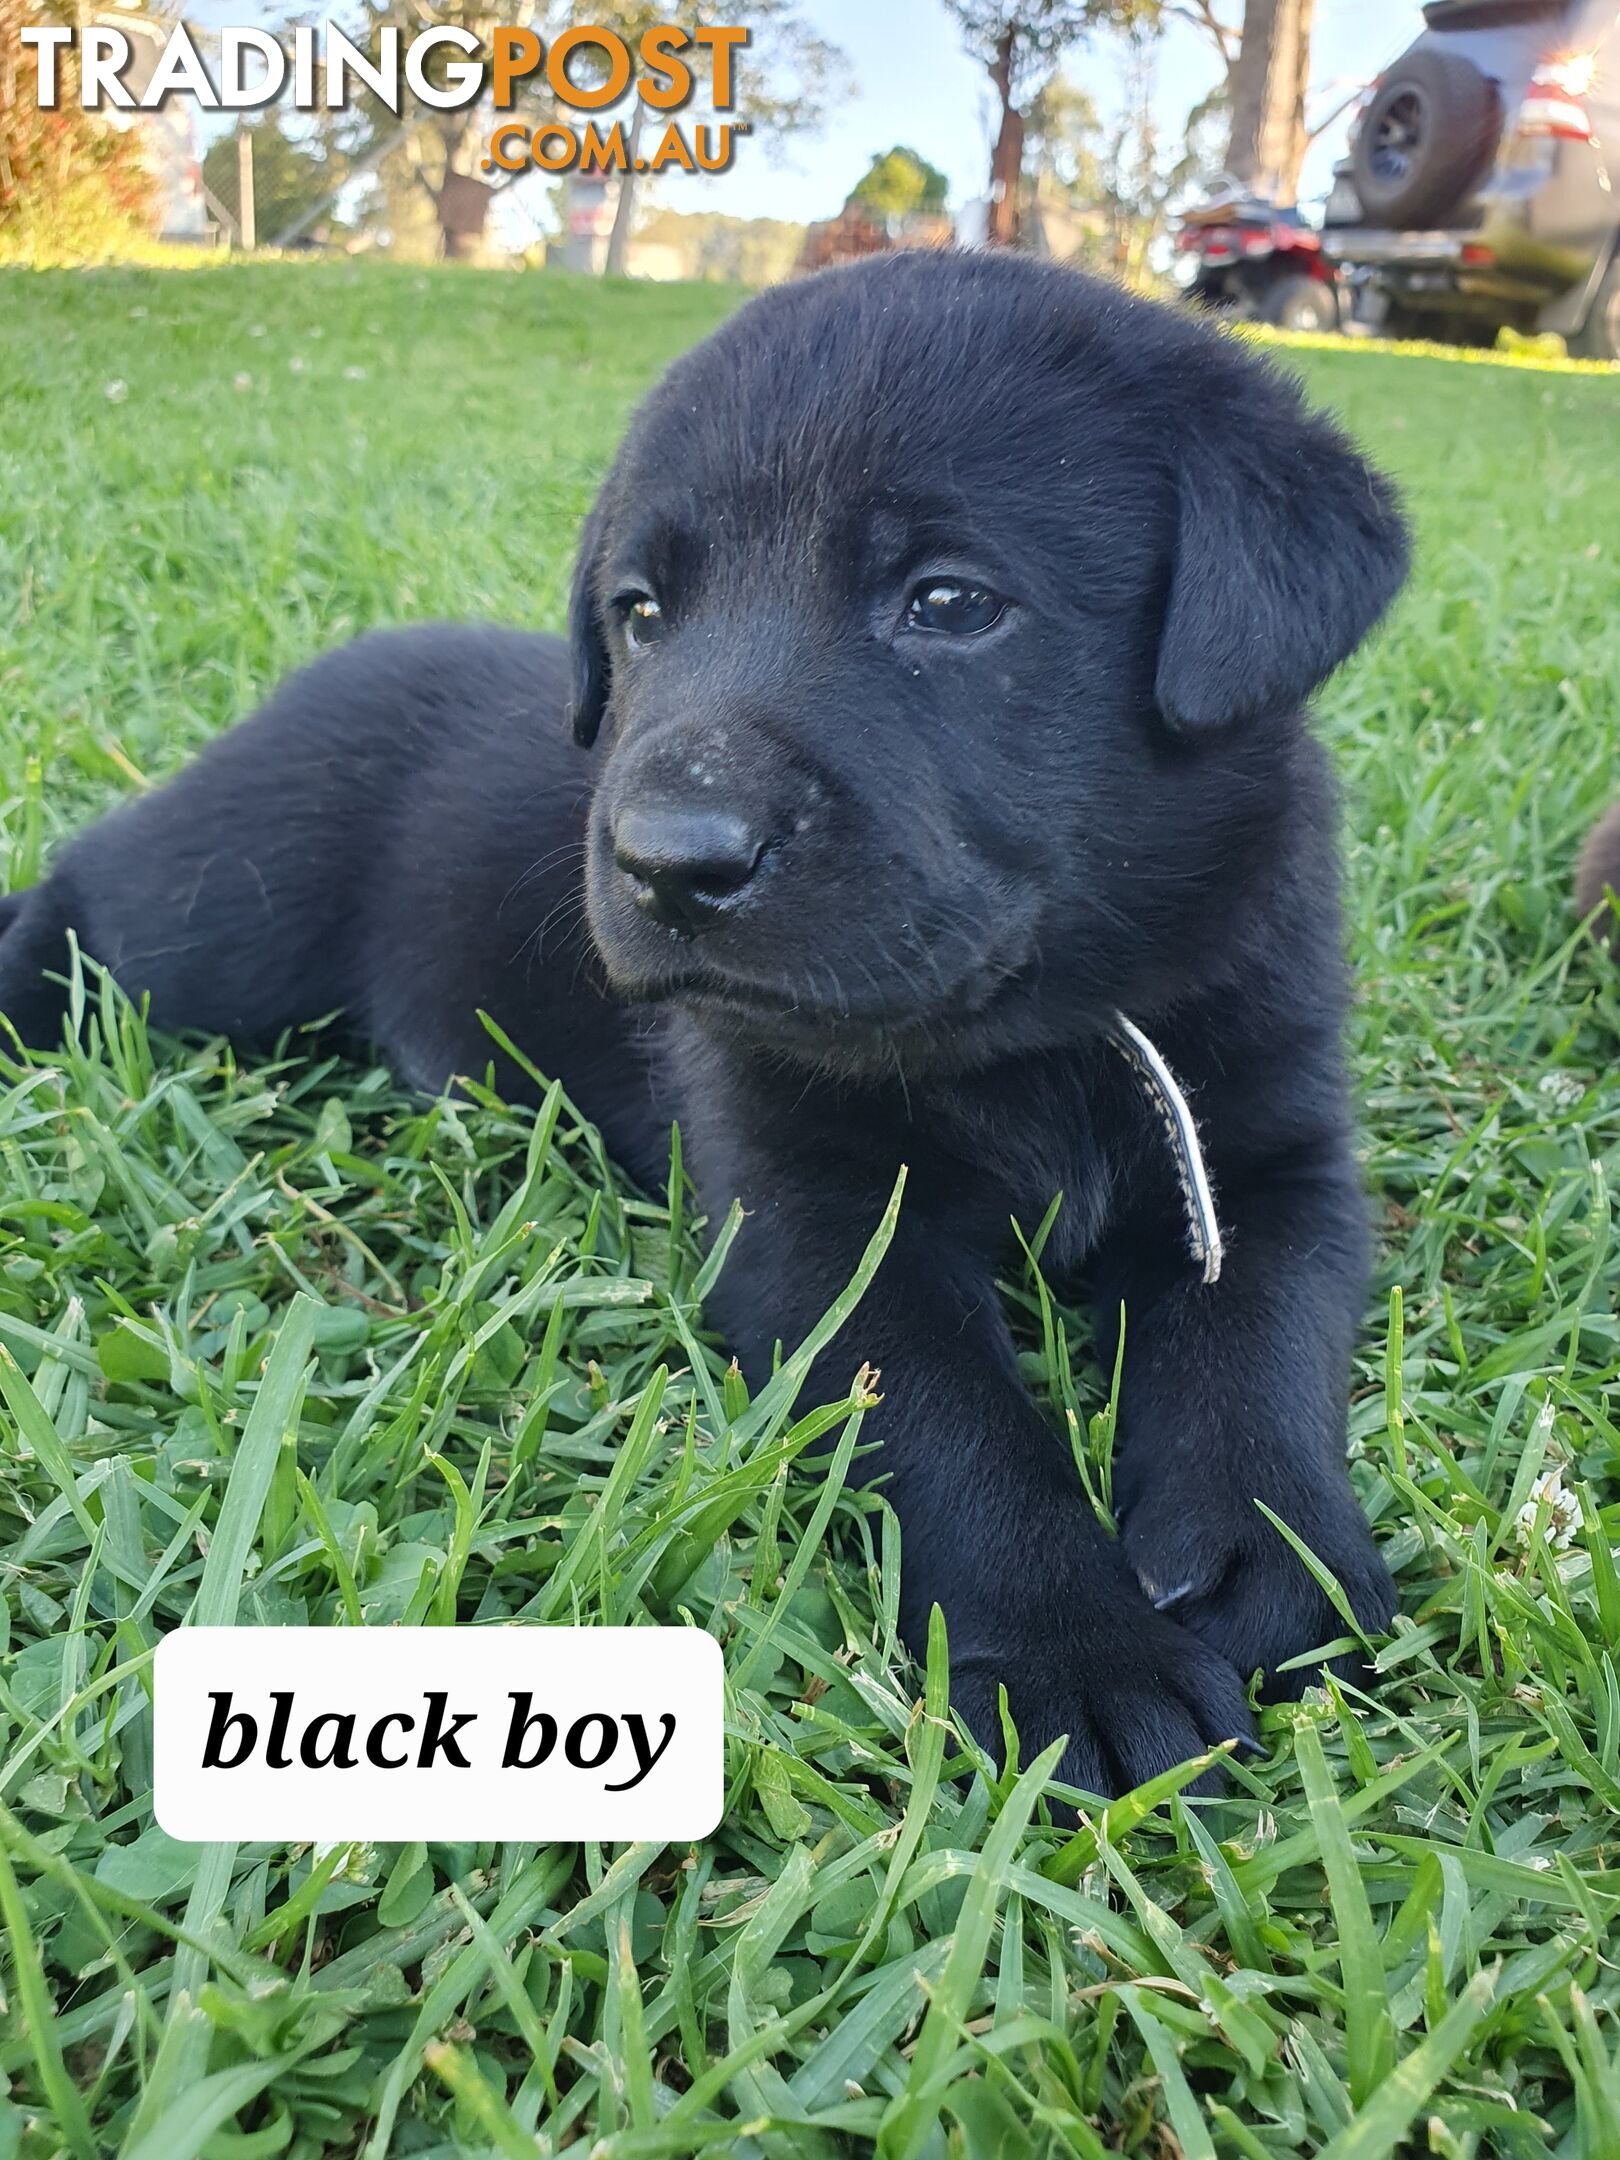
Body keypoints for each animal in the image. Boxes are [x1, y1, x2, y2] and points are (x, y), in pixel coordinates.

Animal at [0, 252, 1408, 1797]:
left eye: (950, 601)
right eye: (642, 612)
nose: (668, 861)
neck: (1038, 1034)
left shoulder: (1274, 1156)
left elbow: (1258, 1338)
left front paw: (1272, 1554)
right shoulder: (809, 1215)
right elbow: (951, 1415)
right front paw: (1078, 1652)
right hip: (204, 924)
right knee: (71, 908)